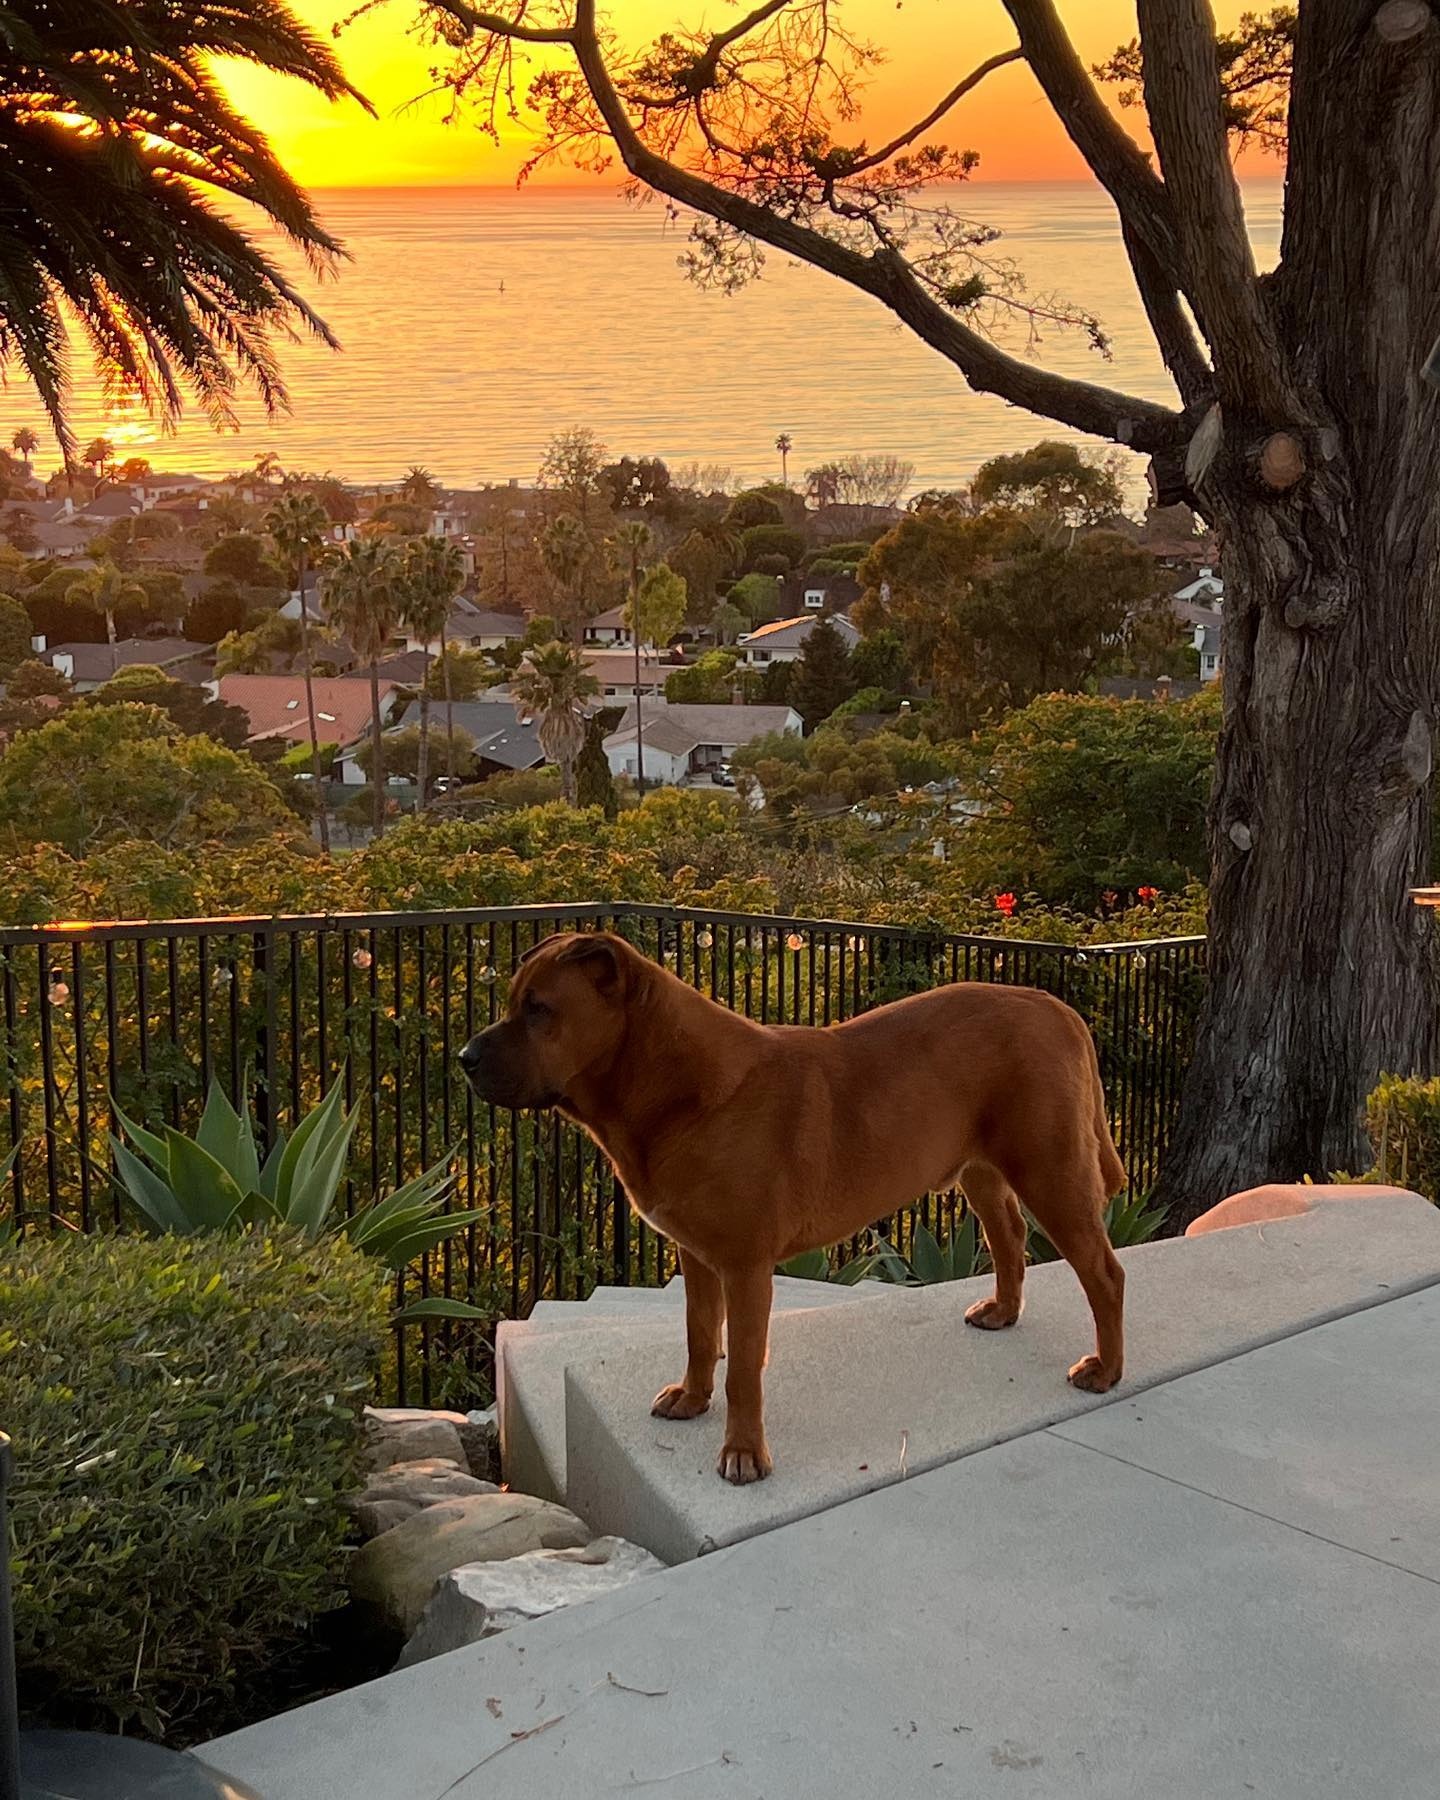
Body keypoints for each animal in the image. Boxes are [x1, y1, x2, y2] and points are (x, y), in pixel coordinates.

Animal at [460, 936, 1123, 1483]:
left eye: (539, 1009)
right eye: (516, 1002)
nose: (465, 1056)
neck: (672, 1086)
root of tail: (1056, 1007)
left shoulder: (746, 1267)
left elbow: (742, 1369)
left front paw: (743, 1452)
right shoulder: (697, 1254)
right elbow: (699, 1333)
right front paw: (692, 1399)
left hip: (1051, 1171)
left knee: (1104, 1273)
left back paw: (1106, 1369)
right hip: (982, 1171)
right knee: (1009, 1235)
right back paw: (1003, 1312)